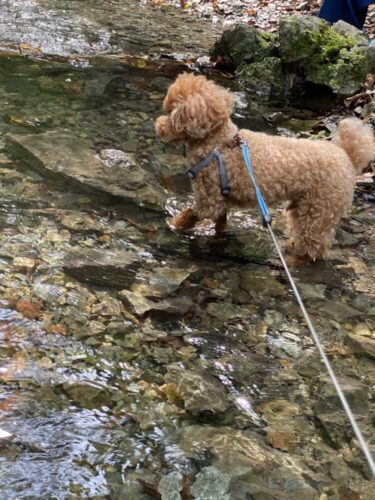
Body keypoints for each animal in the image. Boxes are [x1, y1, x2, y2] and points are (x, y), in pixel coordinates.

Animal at [154, 73, 374, 266]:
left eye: (171, 112)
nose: (158, 126)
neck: (218, 143)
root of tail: (347, 158)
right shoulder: (222, 198)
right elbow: (220, 222)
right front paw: (217, 234)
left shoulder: (209, 199)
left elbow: (189, 214)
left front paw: (173, 225)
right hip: (303, 207)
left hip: (319, 210)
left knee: (315, 247)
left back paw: (294, 261)